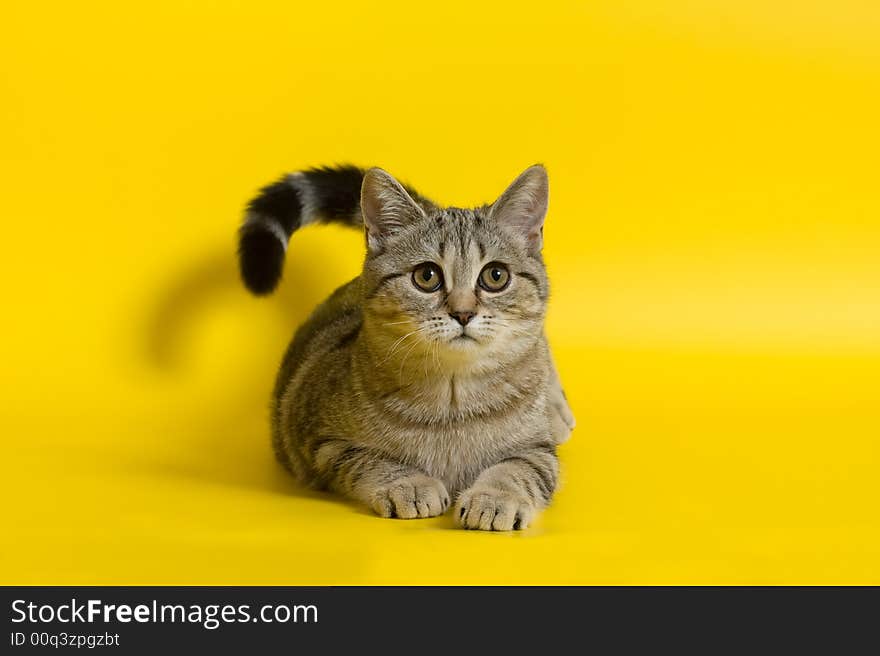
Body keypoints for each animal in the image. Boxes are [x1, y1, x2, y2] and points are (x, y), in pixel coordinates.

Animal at [237, 167, 576, 532]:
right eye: (426, 276)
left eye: (495, 276)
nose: (463, 313)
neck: (453, 405)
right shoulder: (322, 443)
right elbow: (372, 461)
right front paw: (410, 485)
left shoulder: (537, 449)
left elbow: (519, 469)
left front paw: (495, 498)